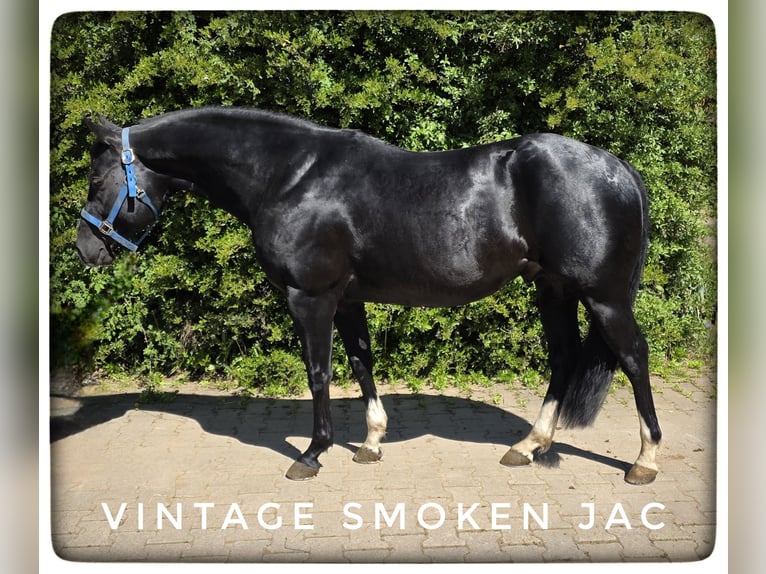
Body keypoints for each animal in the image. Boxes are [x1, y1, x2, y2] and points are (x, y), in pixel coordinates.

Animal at [75, 107, 661, 484]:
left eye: (96, 180)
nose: (86, 249)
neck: (291, 176)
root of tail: (619, 168)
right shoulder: (348, 298)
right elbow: (361, 364)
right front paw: (372, 444)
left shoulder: (309, 296)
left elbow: (319, 372)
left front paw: (312, 454)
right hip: (551, 288)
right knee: (563, 358)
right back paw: (528, 447)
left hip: (604, 297)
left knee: (634, 357)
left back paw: (645, 461)